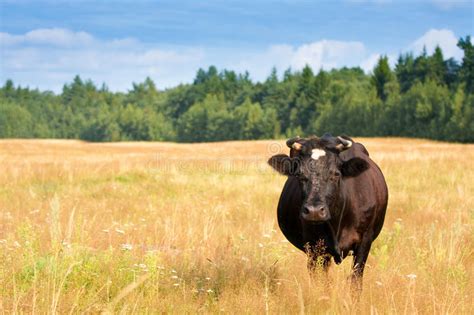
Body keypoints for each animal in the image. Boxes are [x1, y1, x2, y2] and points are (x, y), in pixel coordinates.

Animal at [268, 135, 386, 288]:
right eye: (299, 175)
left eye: (335, 174)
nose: (314, 211)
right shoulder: (315, 247)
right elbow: (322, 283)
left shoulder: (365, 241)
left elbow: (355, 280)